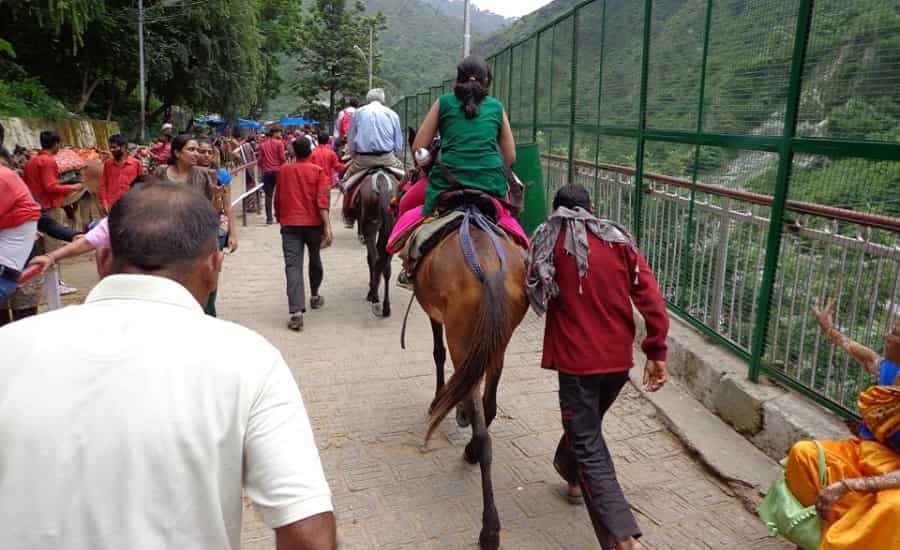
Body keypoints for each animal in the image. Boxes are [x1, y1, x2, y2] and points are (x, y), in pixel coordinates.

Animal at [418, 209, 532, 548]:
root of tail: (490, 267)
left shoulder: (437, 318)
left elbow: (438, 353)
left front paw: (441, 401)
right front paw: (459, 411)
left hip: (464, 335)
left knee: (481, 422)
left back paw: (489, 528)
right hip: (498, 340)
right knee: (489, 405)